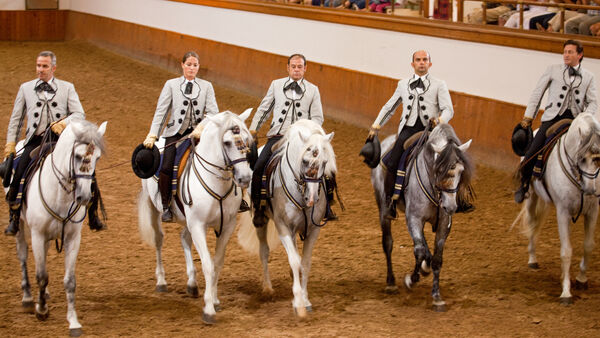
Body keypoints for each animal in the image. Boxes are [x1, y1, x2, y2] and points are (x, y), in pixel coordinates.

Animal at [9, 119, 106, 336]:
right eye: (77, 156)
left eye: (97, 157)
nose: (84, 197)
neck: (60, 195)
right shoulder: (37, 235)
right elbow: (41, 275)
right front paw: (41, 311)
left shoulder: (72, 238)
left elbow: (69, 281)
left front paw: (74, 322)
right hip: (21, 226)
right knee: (22, 255)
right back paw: (28, 298)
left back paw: (43, 295)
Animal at [138, 109, 253, 324]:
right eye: (227, 143)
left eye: (247, 140)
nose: (245, 178)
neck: (217, 181)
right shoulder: (199, 225)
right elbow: (207, 264)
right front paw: (209, 310)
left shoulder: (226, 226)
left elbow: (217, 264)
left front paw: (214, 300)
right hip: (154, 208)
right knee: (159, 240)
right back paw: (161, 281)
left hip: (188, 220)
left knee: (184, 237)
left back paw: (192, 283)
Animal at [237, 120, 336, 318]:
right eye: (304, 161)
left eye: (325, 162)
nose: (312, 198)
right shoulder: (283, 227)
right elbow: (295, 261)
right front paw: (298, 303)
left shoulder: (313, 230)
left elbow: (304, 263)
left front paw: (305, 300)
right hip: (262, 222)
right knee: (264, 251)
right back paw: (267, 289)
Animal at [512, 112, 600, 304]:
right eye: (581, 158)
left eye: (598, 160)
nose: (591, 190)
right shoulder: (563, 213)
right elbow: (566, 251)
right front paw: (566, 292)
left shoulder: (592, 212)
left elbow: (588, 245)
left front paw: (581, 279)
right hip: (532, 197)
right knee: (532, 225)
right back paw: (532, 259)